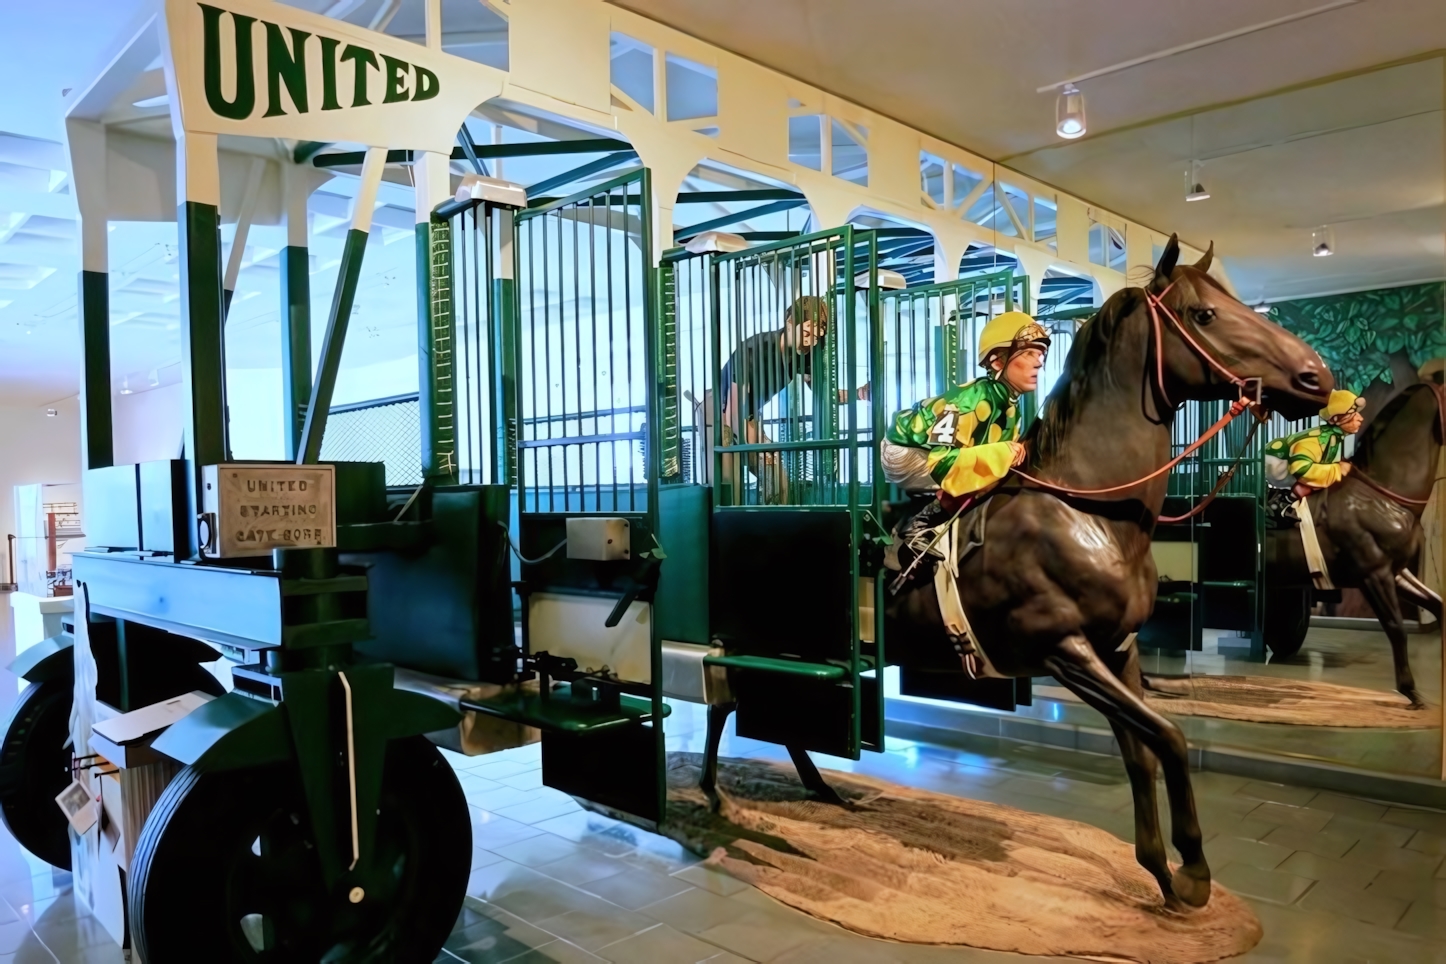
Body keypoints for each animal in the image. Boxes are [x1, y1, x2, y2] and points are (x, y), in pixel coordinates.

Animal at [879, 237, 1330, 907]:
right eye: (1205, 315)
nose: (1317, 377)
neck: (1086, 508)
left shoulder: (1119, 646)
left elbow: (1140, 750)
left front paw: (1159, 870)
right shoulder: (1063, 649)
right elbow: (1170, 736)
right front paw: (1194, 872)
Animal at [1278, 381, 1446, 705]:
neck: (1382, 494)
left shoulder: (1396, 570)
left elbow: (1437, 604)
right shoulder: (1372, 573)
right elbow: (1396, 627)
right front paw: (1410, 689)